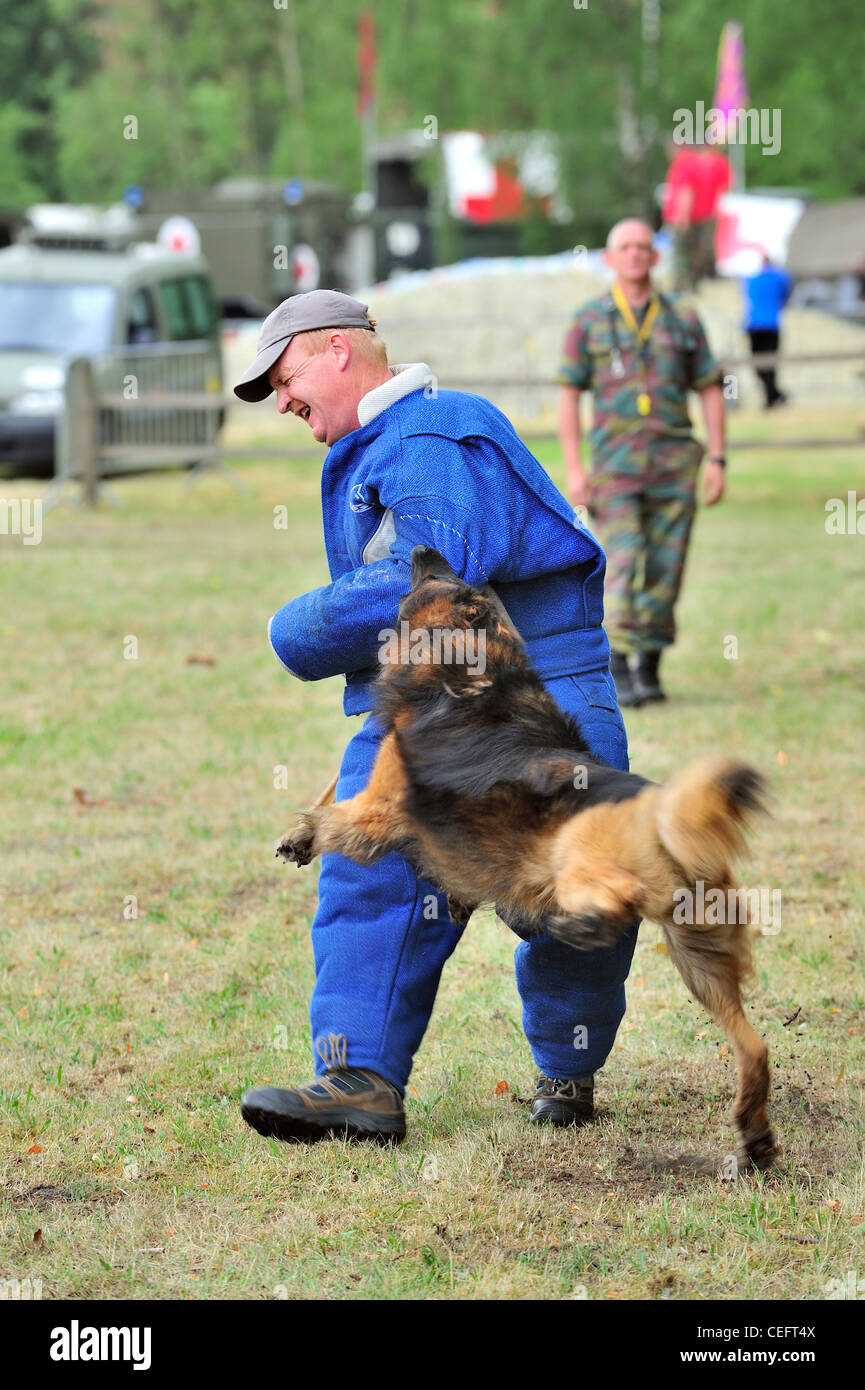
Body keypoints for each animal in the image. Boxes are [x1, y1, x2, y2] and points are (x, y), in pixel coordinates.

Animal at [278, 544, 778, 1173]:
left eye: (438, 578)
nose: (422, 546)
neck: (478, 669)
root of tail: (665, 812)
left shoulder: (380, 811)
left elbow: (333, 816)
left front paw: (303, 834)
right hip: (700, 959)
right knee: (755, 1046)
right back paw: (755, 1137)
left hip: (582, 855)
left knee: (610, 900)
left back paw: (579, 923)